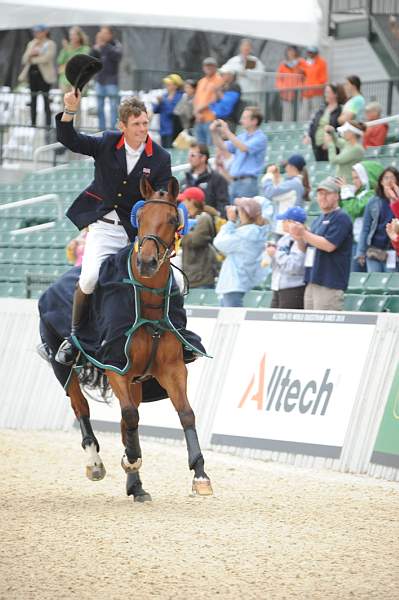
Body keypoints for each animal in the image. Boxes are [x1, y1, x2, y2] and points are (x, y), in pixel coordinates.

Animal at [67, 177, 214, 502]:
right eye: (142, 216)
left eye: (172, 219)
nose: (147, 262)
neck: (148, 305)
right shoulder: (115, 366)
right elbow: (131, 416)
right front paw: (131, 458)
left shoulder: (172, 369)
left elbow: (186, 414)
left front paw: (200, 474)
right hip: (65, 370)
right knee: (82, 408)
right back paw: (96, 463)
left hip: (135, 380)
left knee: (123, 421)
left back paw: (136, 486)